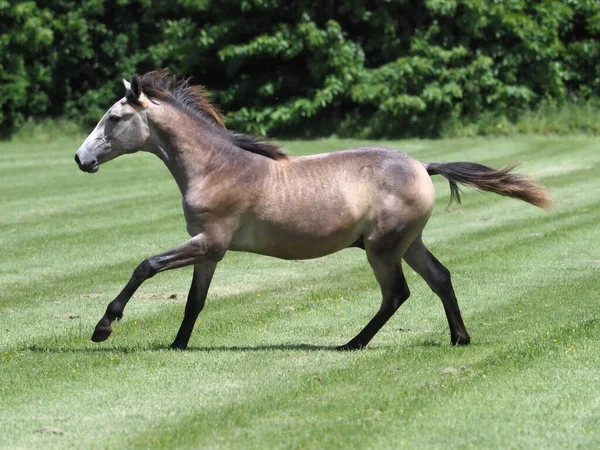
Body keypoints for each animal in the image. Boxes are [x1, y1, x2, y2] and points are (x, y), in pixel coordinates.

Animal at [72, 71, 552, 352]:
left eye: (114, 118)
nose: (80, 159)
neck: (215, 168)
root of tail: (423, 165)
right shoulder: (209, 251)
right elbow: (194, 301)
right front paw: (177, 346)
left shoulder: (209, 243)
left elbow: (146, 265)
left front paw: (104, 326)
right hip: (408, 243)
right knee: (440, 278)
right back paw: (459, 338)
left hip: (382, 249)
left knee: (396, 294)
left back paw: (351, 344)